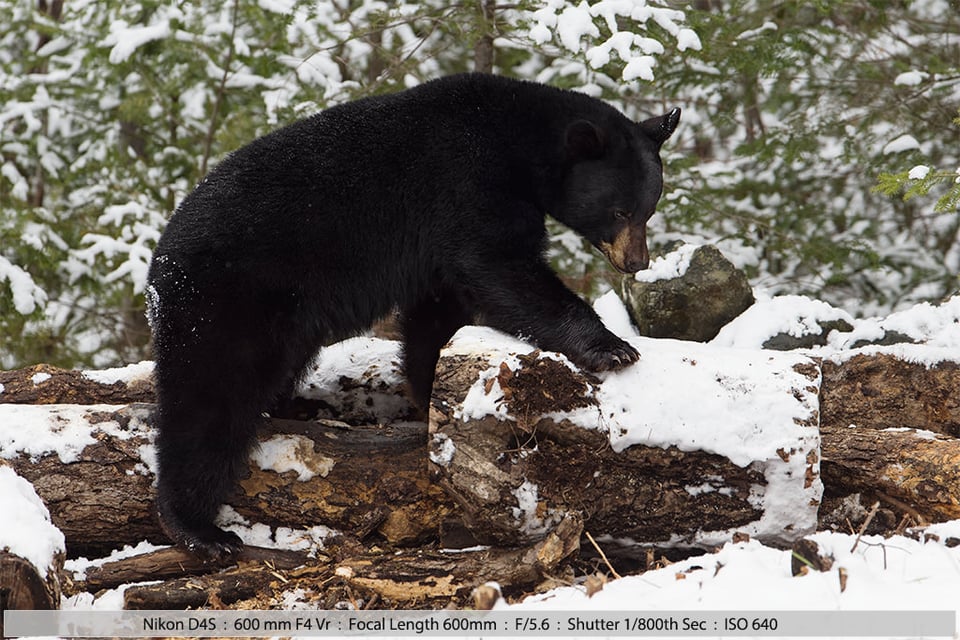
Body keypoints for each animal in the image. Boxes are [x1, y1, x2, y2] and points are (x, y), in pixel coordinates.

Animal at [146, 72, 680, 556]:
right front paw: (613, 347)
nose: (637, 262)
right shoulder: (466, 182)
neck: (517, 143)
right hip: (229, 301)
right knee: (210, 400)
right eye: (619, 211)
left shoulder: (438, 244)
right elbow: (502, 266)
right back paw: (199, 529)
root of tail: (160, 268)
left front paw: (428, 398)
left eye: (648, 209)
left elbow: (436, 315)